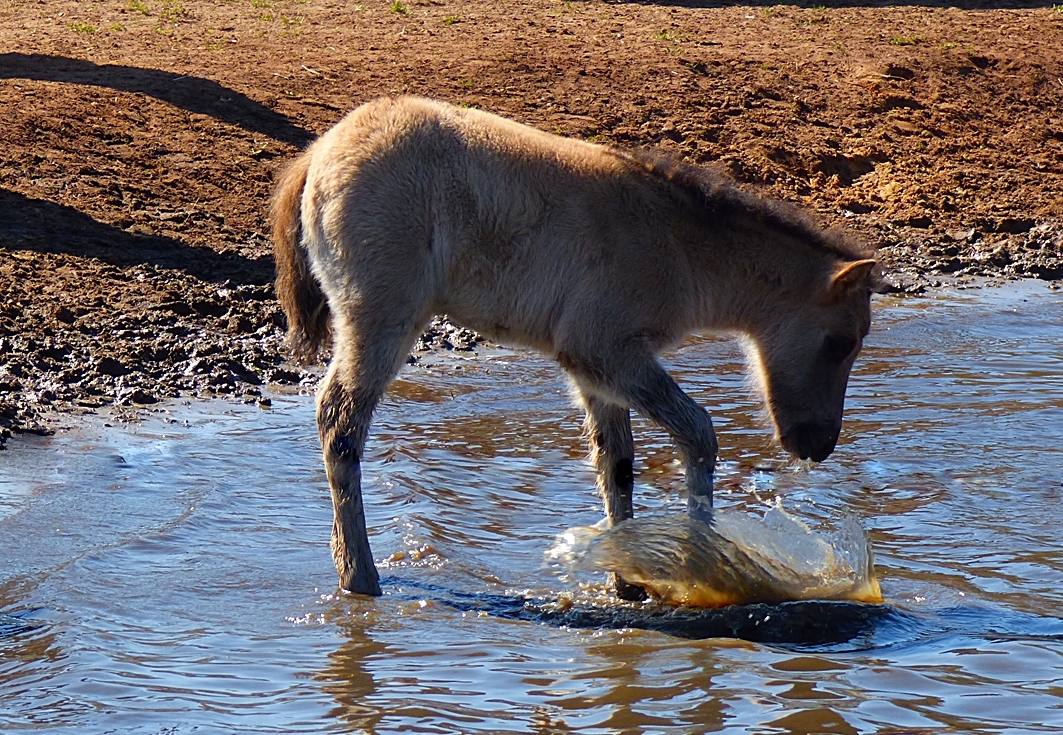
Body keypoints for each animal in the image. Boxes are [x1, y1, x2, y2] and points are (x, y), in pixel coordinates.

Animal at [270, 96, 875, 599]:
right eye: (841, 342)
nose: (818, 445)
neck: (675, 243)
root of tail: (320, 152)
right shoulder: (606, 351)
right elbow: (698, 433)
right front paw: (705, 567)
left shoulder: (594, 371)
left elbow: (617, 464)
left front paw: (627, 583)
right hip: (381, 320)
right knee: (340, 422)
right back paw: (360, 576)